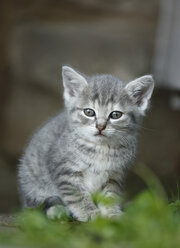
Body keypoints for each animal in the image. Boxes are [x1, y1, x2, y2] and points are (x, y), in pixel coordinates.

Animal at [17, 65, 153, 221]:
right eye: (89, 112)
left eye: (115, 115)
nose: (100, 126)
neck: (101, 148)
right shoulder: (65, 171)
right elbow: (77, 196)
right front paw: (90, 213)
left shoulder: (115, 175)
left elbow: (110, 196)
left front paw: (112, 212)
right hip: (31, 182)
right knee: (35, 207)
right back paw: (56, 210)